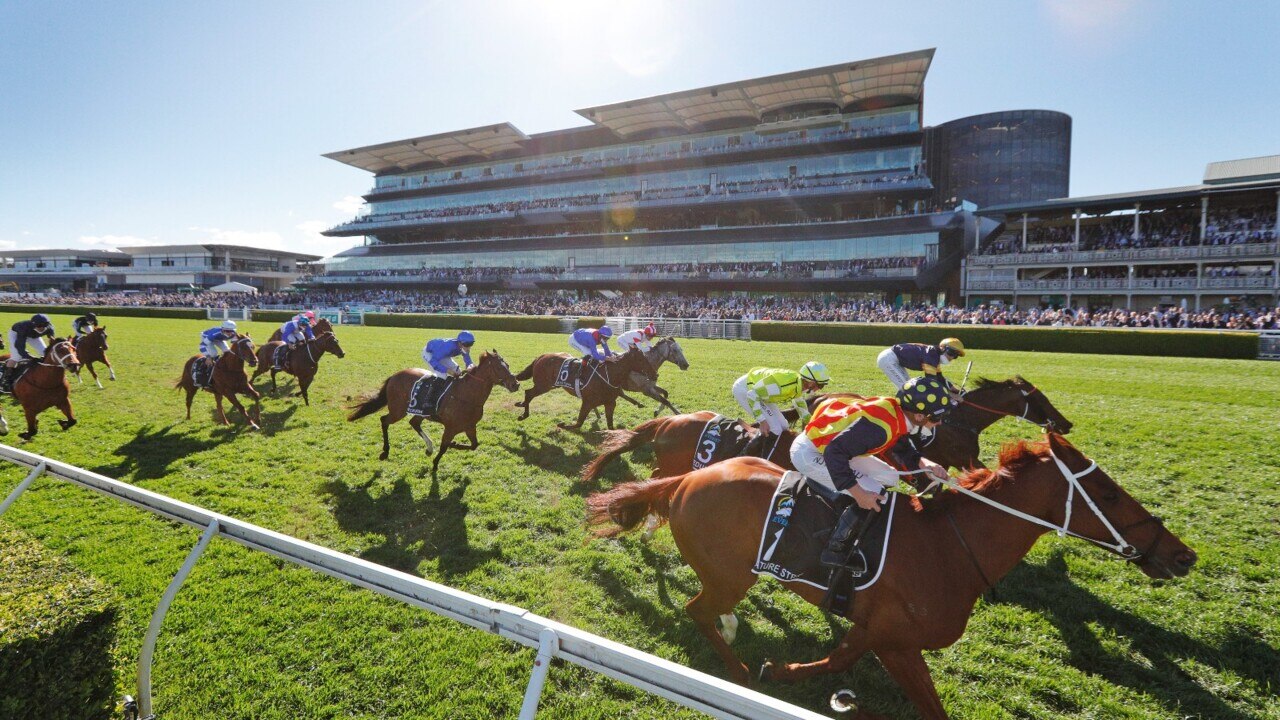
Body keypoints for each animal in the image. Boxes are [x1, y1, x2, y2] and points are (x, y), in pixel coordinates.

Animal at [348, 348, 522, 471]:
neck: (467, 395)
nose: (515, 384)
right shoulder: (450, 427)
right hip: (398, 410)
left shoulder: (470, 426)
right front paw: (436, 463)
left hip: (420, 412)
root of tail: (395, 375)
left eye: (507, 365)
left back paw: (429, 448)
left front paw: (454, 445)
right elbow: (444, 447)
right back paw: (385, 451)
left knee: (414, 422)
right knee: (384, 420)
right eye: (499, 367)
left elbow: (474, 445)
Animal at [512, 345, 655, 427]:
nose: (655, 374)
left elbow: (610, 425)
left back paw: (522, 406)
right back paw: (523, 413)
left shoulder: (610, 403)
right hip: (543, 385)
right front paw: (562, 425)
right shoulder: (588, 402)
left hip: (549, 385)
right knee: (528, 393)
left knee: (528, 393)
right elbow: (578, 423)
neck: (608, 376)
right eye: (641, 359)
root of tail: (541, 356)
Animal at [586, 430, 1198, 717]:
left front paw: (796, 674)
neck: (951, 550)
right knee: (700, 611)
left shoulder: (881, 632)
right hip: (730, 576)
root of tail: (686, 480)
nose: (1182, 556)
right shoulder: (896, 641)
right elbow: (914, 700)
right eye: (1108, 494)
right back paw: (735, 668)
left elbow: (845, 661)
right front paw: (785, 675)